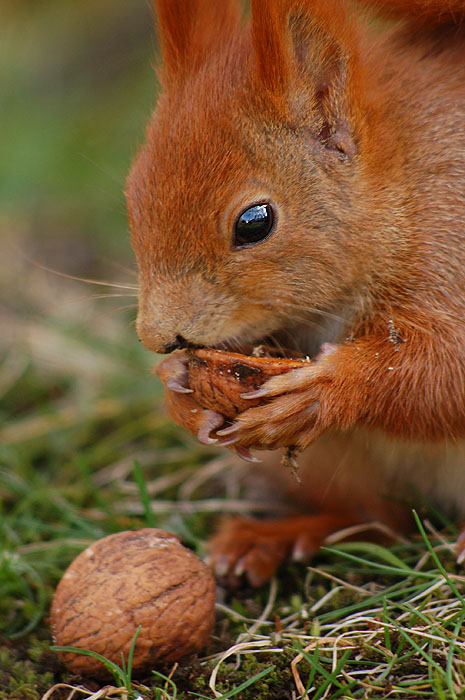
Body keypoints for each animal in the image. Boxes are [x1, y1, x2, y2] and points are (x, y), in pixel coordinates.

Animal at [125, 0, 464, 584]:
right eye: (132, 196)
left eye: (255, 222)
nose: (158, 337)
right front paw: (178, 388)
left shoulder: (449, 250)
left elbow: (444, 369)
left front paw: (325, 389)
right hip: (343, 468)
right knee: (374, 522)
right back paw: (274, 537)